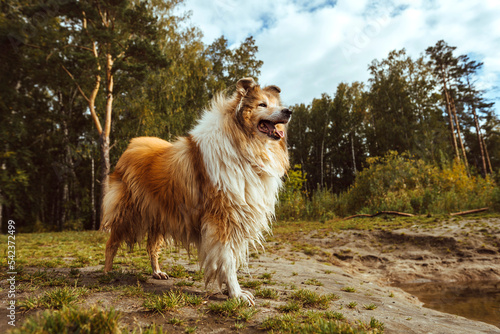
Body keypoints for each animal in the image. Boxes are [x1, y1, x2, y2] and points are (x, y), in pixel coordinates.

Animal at [100, 78, 290, 306]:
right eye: (262, 104)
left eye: (277, 104)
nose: (288, 111)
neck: (243, 144)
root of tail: (132, 145)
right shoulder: (223, 218)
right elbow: (227, 259)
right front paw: (237, 294)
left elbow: (229, 259)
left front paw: (230, 291)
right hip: (128, 213)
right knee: (111, 243)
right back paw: (107, 273)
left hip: (158, 215)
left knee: (151, 246)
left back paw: (157, 272)